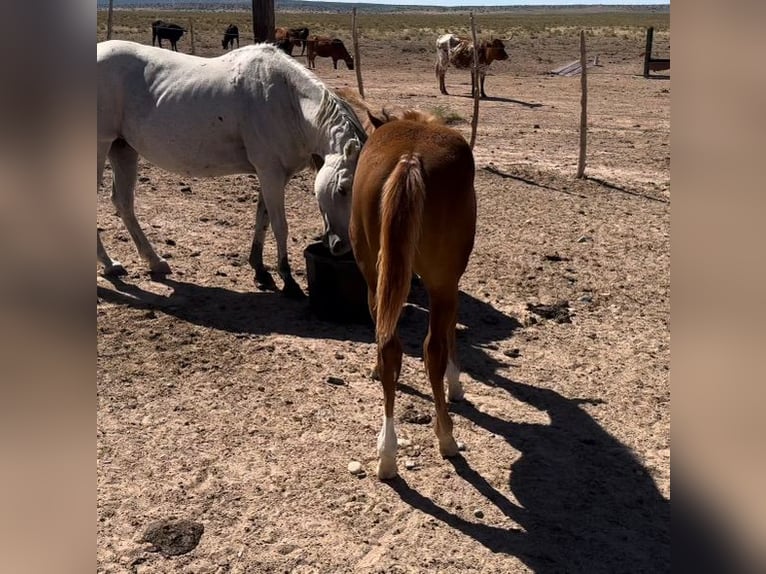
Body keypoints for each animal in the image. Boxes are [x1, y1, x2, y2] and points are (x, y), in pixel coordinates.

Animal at [97, 41, 368, 296]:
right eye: (343, 188)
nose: (342, 246)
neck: (289, 102)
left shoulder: (273, 175)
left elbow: (263, 220)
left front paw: (261, 271)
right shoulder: (270, 173)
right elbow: (280, 226)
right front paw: (289, 282)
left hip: (123, 149)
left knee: (124, 204)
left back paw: (154, 261)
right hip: (101, 147)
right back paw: (111, 265)